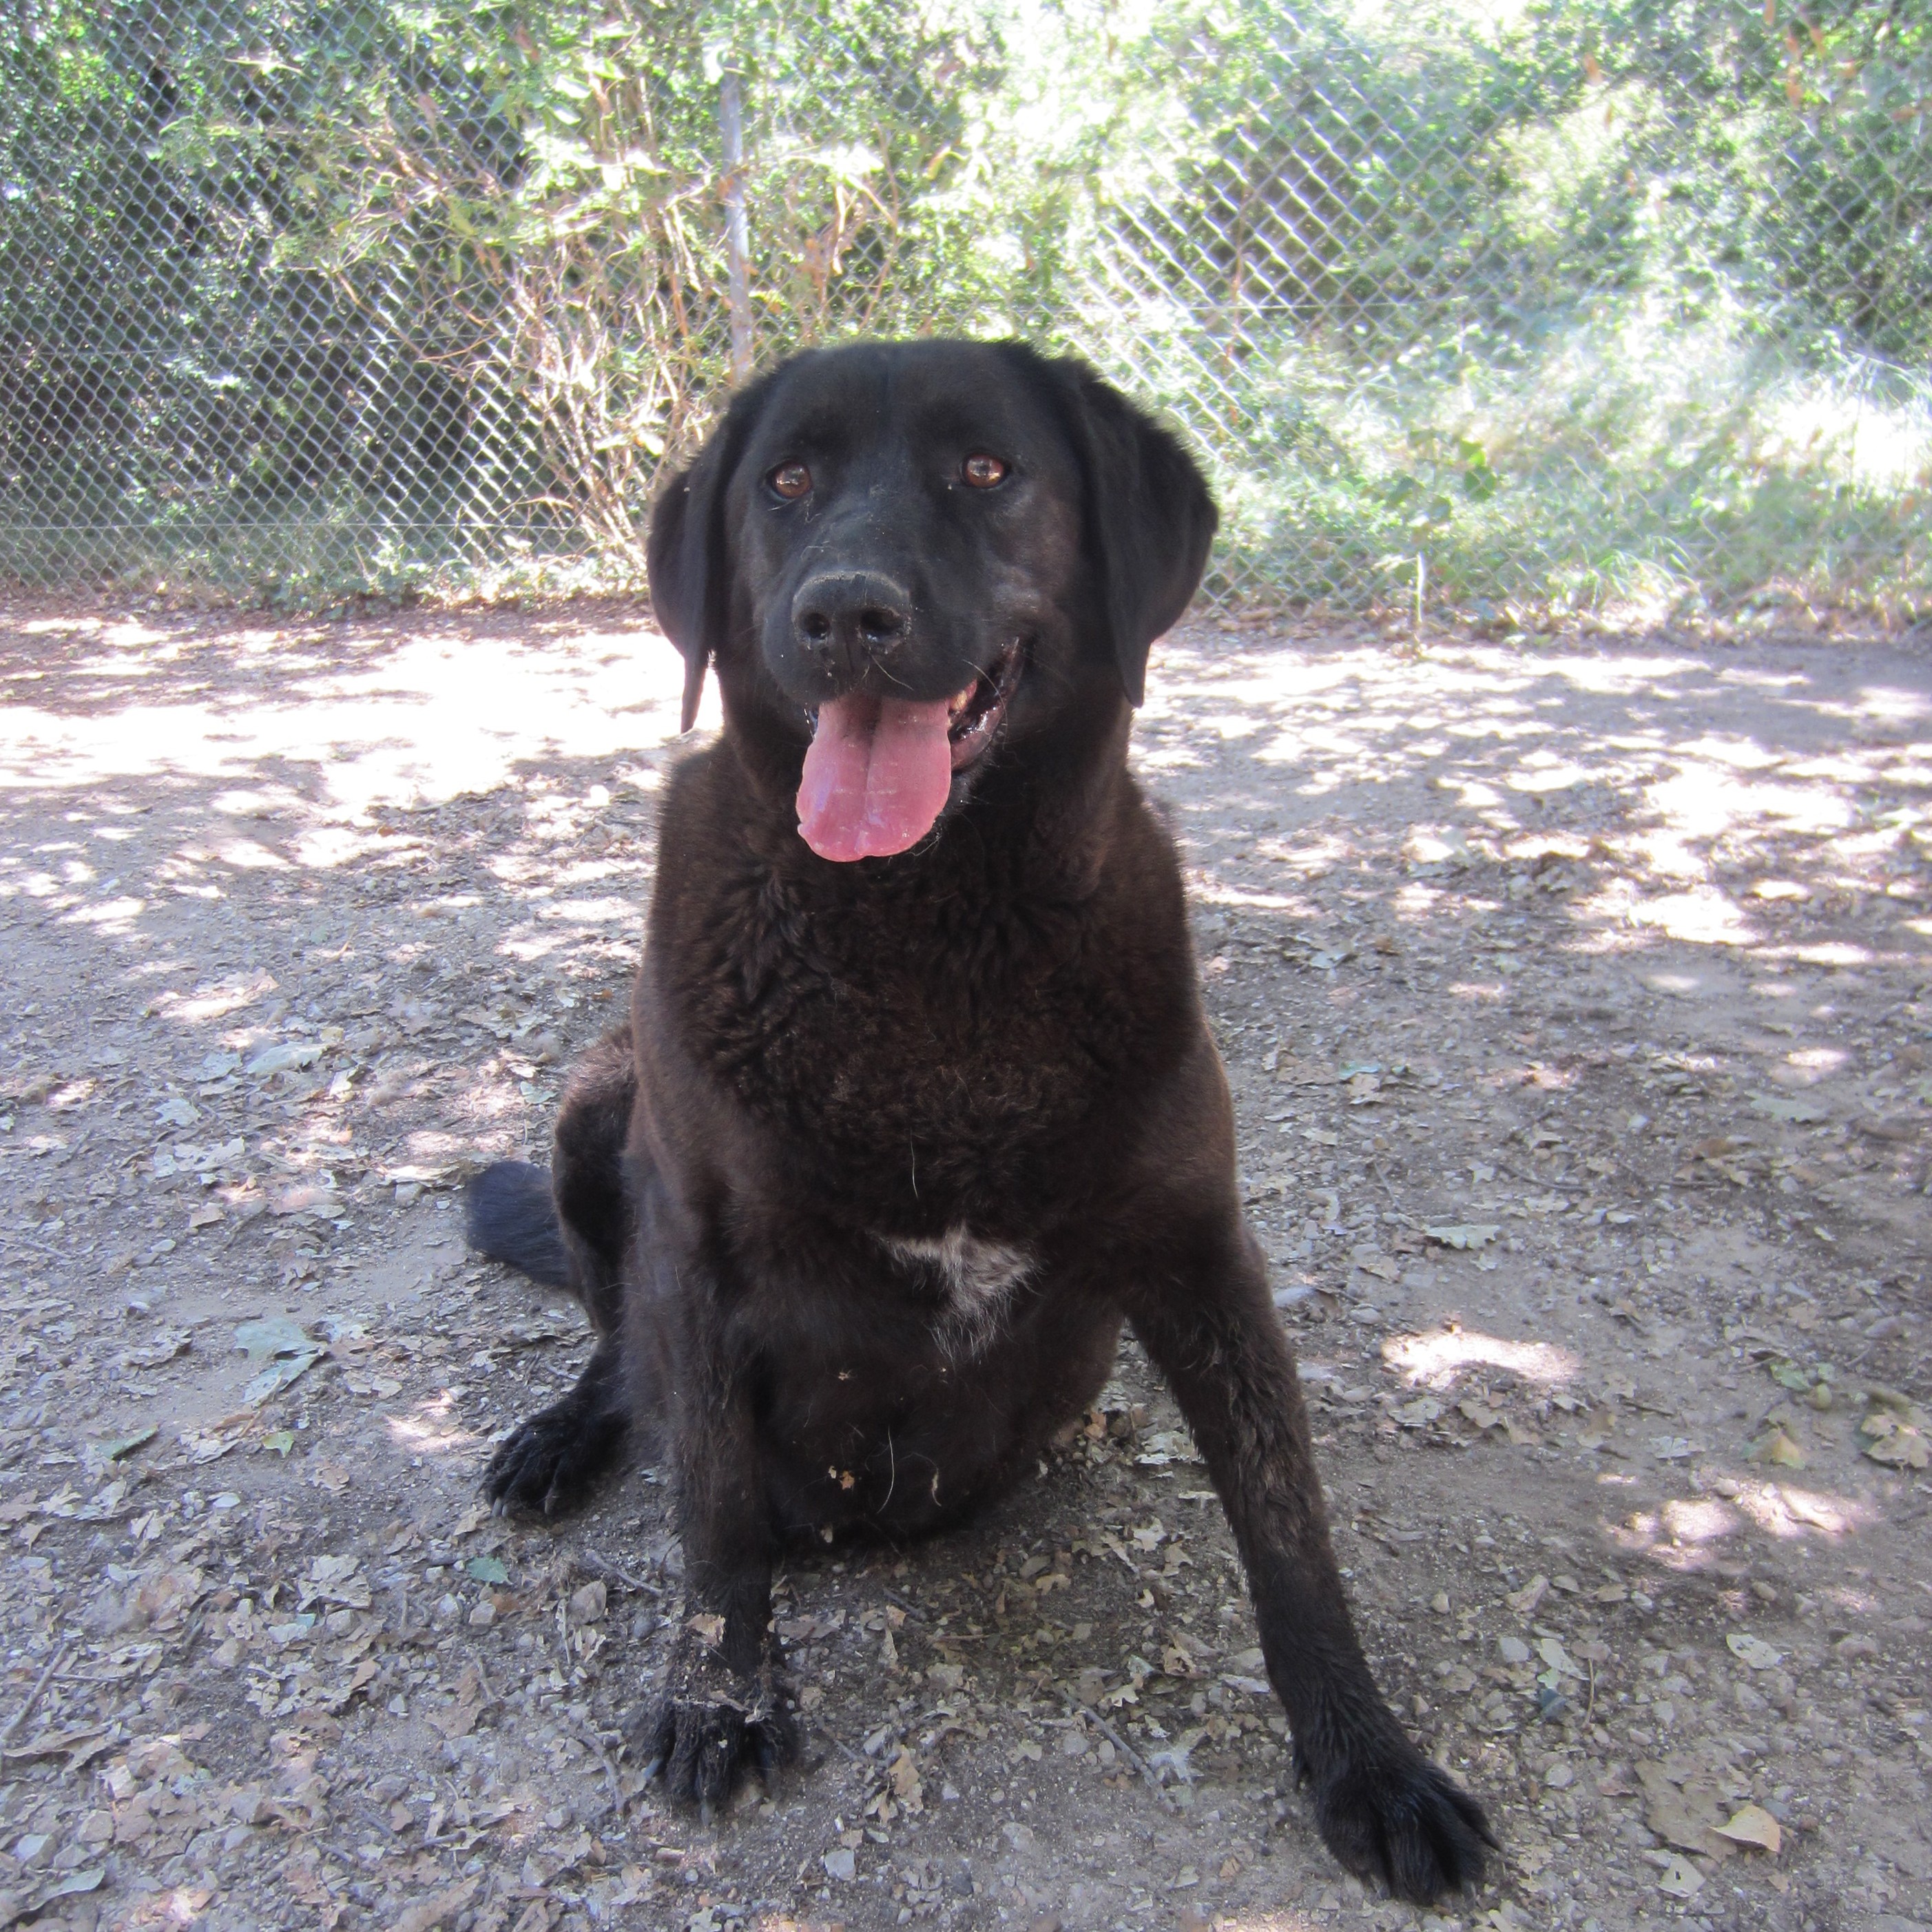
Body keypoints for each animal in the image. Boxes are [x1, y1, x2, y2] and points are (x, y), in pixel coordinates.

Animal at [467, 336, 1491, 1901]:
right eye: (787, 480)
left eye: (988, 468)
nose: (846, 612)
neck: (930, 937)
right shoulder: (694, 1250)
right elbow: (713, 1506)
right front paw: (722, 1700)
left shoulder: (1204, 1255)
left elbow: (1289, 1527)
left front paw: (1368, 1760)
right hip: (594, 1116)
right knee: (619, 1355)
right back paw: (565, 1433)